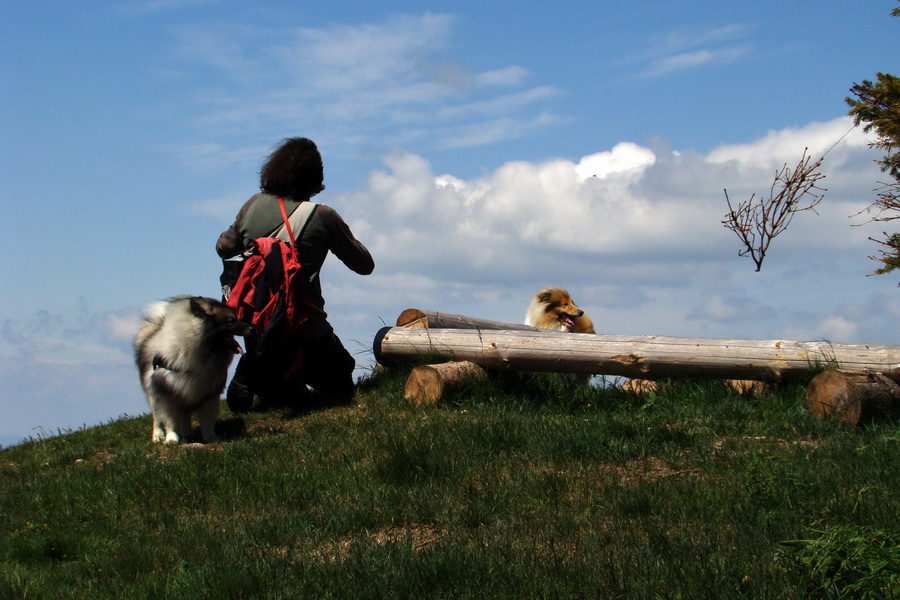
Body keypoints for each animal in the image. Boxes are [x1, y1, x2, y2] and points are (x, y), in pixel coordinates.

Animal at [132, 294, 250, 440]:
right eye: (231, 321)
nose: (252, 328)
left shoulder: (208, 394)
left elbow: (207, 420)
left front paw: (210, 437)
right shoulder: (168, 391)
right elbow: (171, 420)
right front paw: (172, 438)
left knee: (185, 414)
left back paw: (187, 431)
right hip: (155, 394)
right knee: (157, 416)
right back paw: (157, 436)